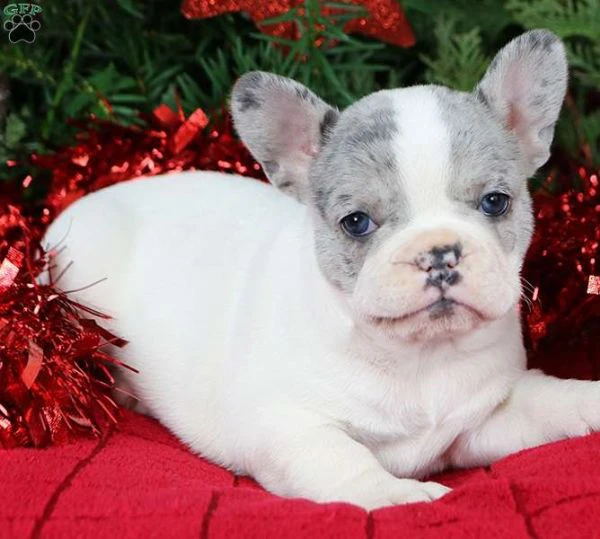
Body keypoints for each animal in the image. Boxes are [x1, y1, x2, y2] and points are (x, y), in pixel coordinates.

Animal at [43, 30, 600, 510]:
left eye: (495, 202)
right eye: (357, 223)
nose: (439, 250)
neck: (418, 358)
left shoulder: (487, 418)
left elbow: (550, 401)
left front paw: (590, 400)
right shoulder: (287, 426)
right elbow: (345, 459)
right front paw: (399, 496)